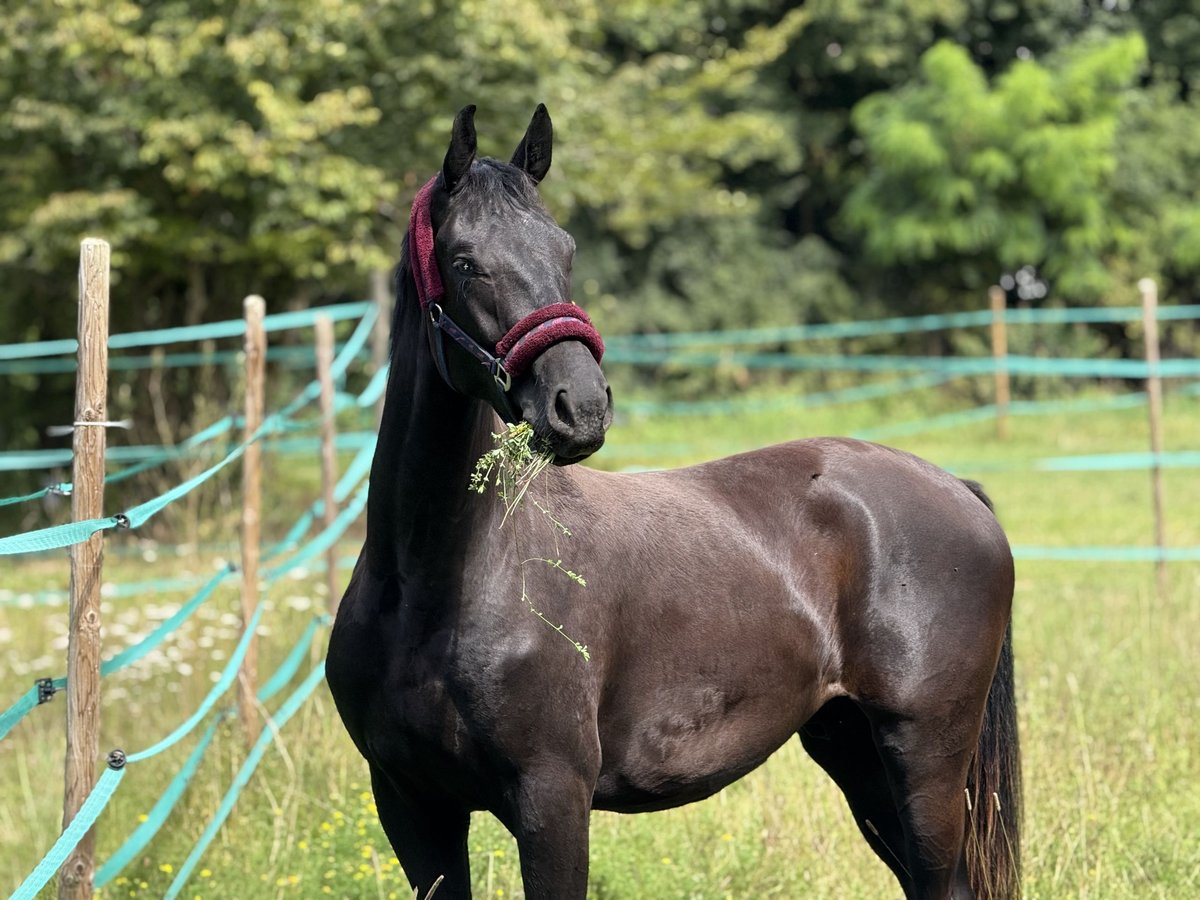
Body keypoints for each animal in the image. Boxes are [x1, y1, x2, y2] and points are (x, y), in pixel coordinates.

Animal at [326, 104, 1021, 900]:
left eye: (565, 249)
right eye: (466, 259)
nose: (580, 406)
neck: (433, 585)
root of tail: (959, 490)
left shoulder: (551, 800)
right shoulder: (412, 807)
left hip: (925, 761)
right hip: (857, 754)